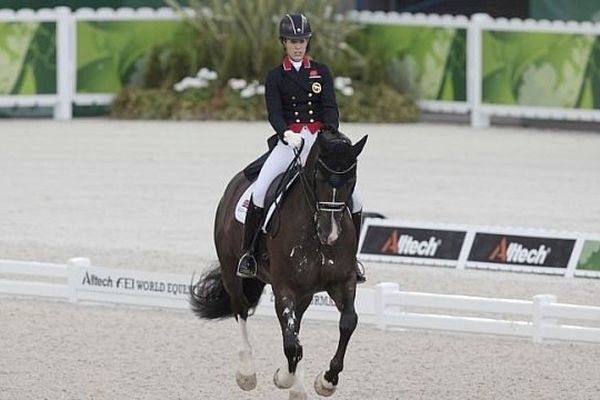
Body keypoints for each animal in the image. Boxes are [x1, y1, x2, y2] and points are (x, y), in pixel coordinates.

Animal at [190, 130, 368, 396]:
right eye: (318, 178)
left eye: (351, 181)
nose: (331, 234)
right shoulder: (284, 288)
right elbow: (292, 344)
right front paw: (283, 378)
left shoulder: (343, 281)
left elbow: (347, 322)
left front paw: (326, 381)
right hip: (233, 273)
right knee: (241, 310)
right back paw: (247, 374)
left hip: (305, 293)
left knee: (296, 325)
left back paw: (298, 388)